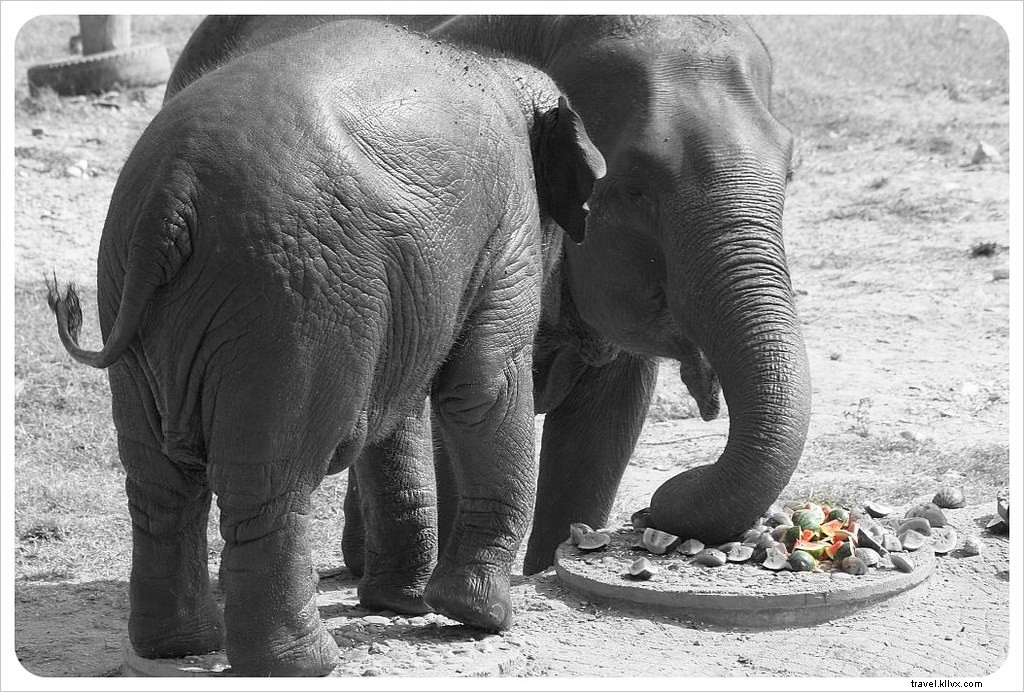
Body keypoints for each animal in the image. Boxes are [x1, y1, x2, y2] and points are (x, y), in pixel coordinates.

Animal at [47, 19, 605, 676]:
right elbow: (484, 385)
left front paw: (402, 605)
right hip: (294, 297)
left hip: (140, 288)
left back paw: (180, 647)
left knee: (160, 482)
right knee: (275, 482)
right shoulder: (506, 219)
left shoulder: (409, 279)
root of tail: (171, 195)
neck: (500, 69)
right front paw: (478, 619)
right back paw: (306, 662)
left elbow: (397, 413)